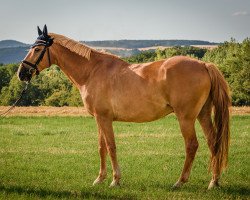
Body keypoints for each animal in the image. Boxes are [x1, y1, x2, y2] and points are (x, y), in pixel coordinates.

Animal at [17, 25, 230, 189]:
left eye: (37, 50)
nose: (21, 73)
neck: (92, 71)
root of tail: (203, 64)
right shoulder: (99, 118)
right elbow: (101, 147)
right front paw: (99, 179)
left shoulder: (104, 118)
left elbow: (111, 147)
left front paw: (115, 180)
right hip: (203, 114)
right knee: (213, 142)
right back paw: (214, 182)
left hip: (186, 117)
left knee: (192, 145)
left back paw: (180, 182)